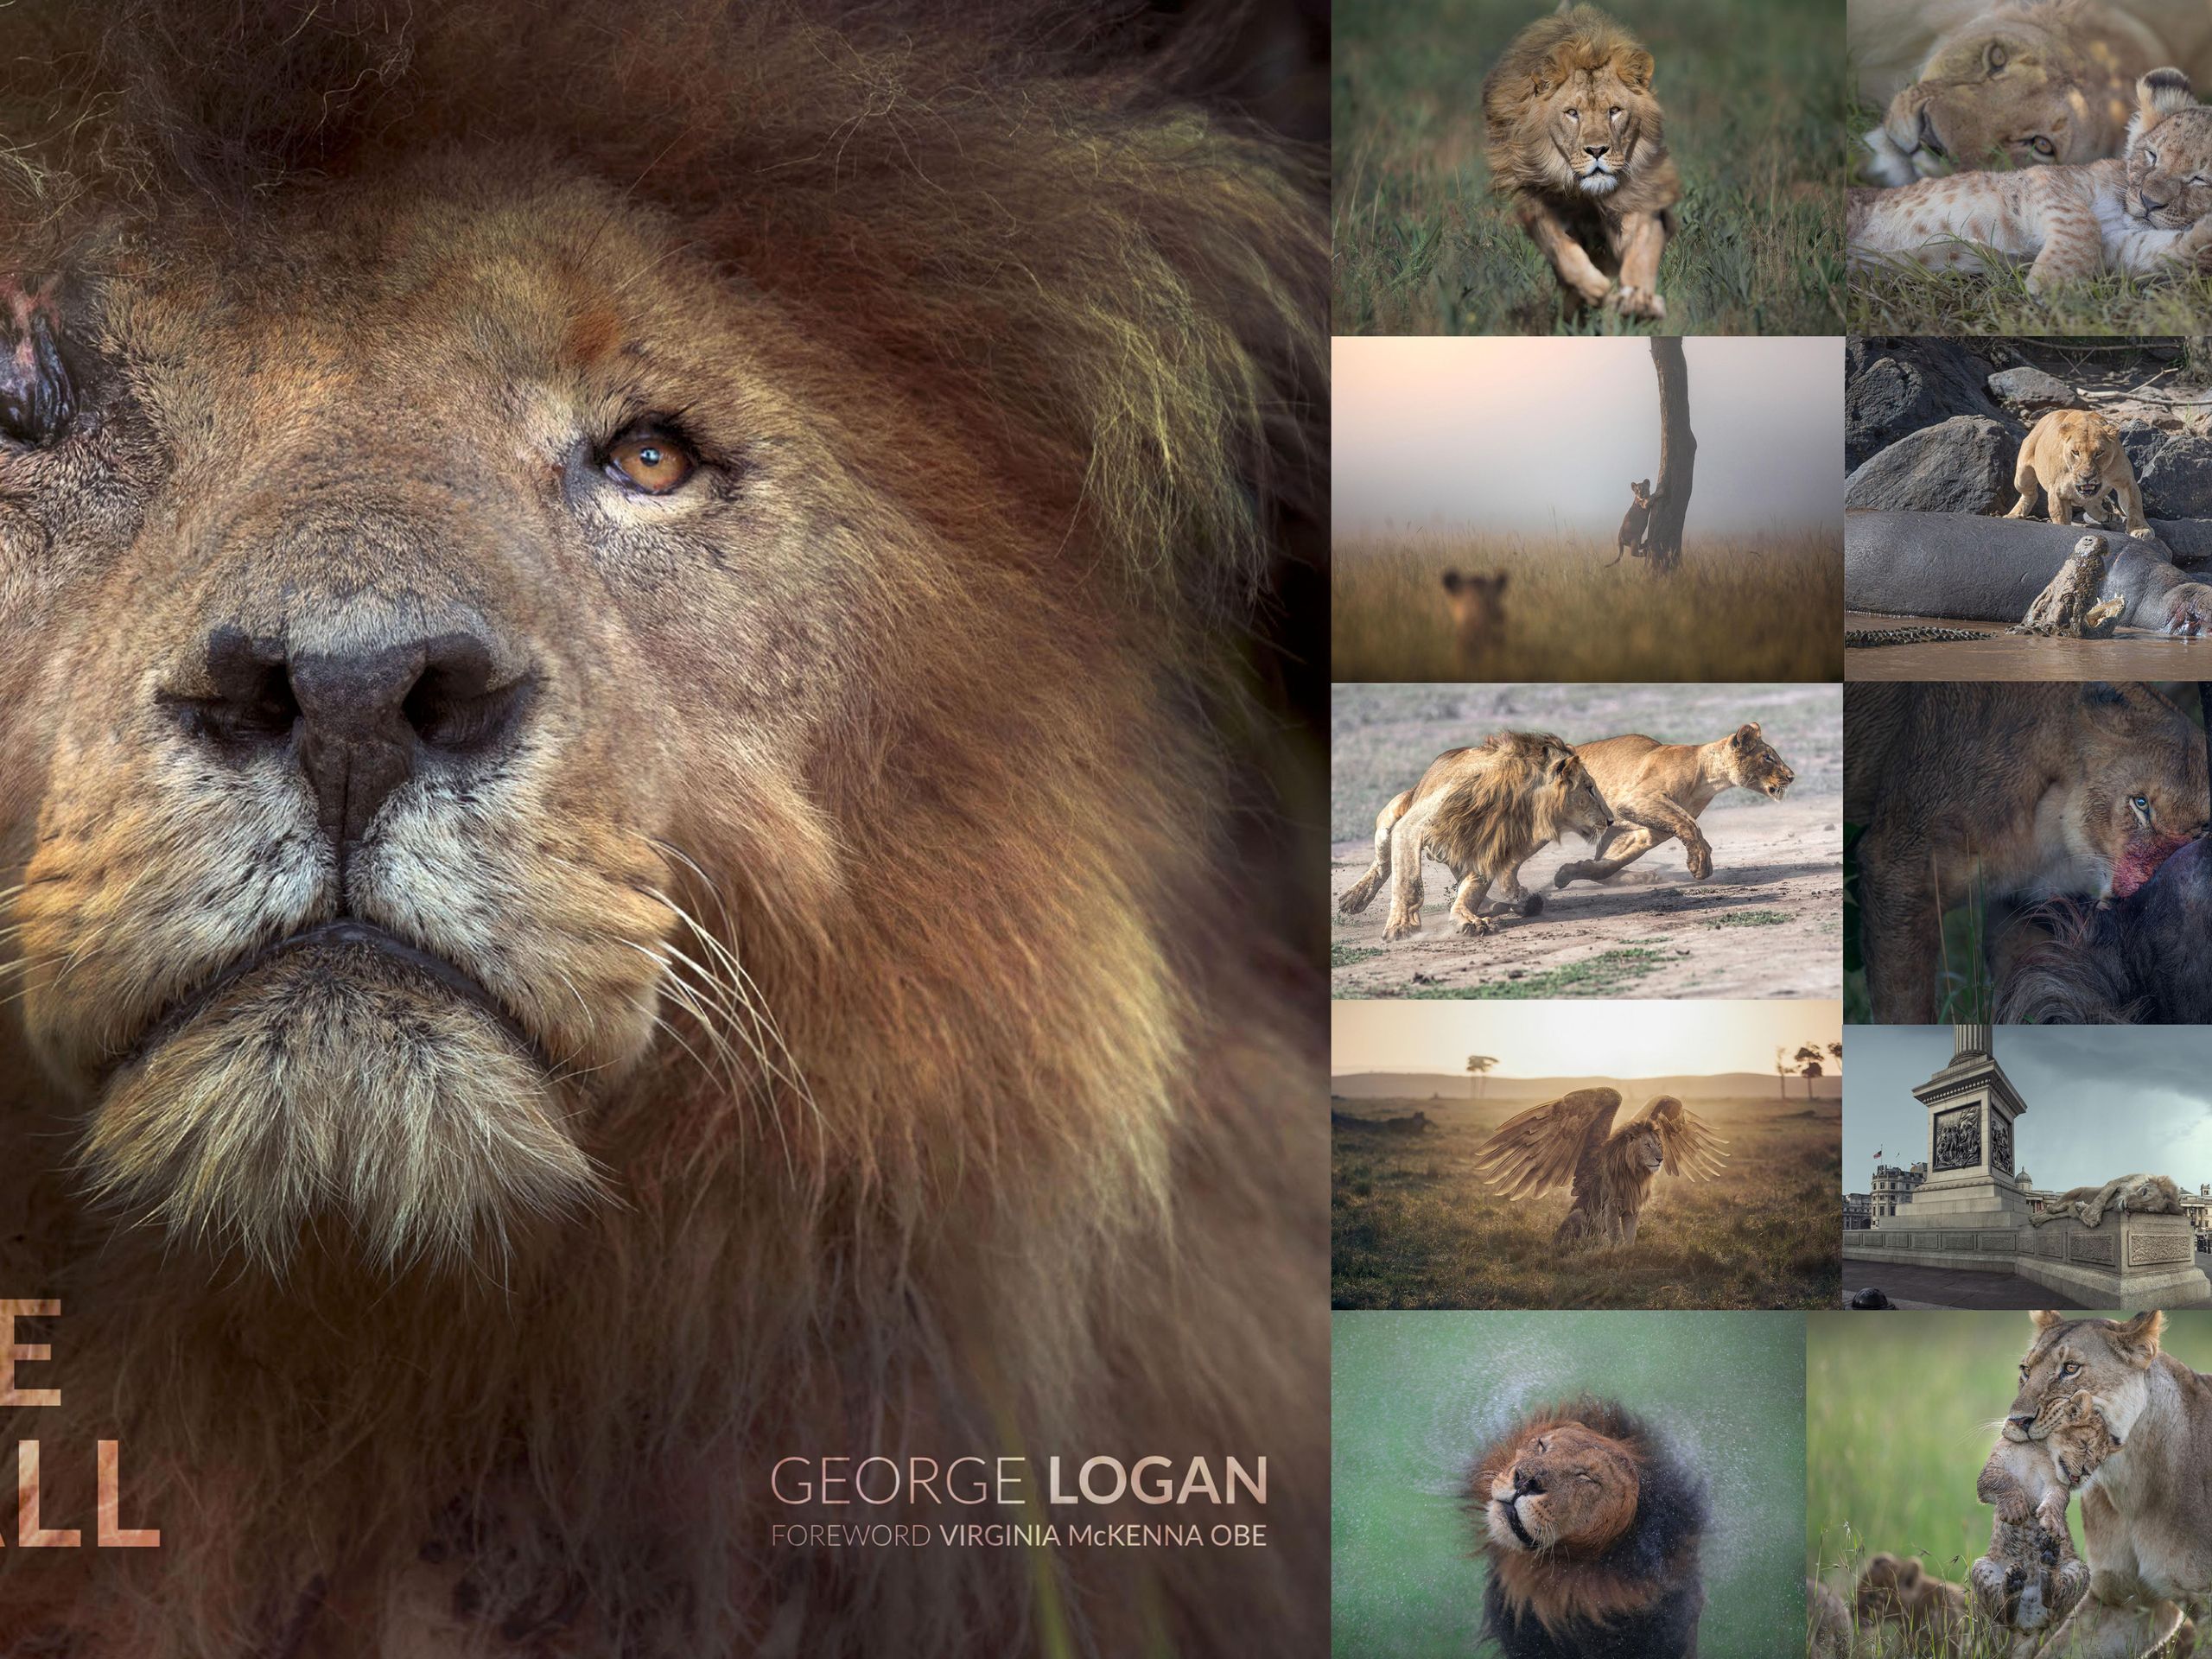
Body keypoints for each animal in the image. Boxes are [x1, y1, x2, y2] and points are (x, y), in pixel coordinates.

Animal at [1335, 731, 1615, 942]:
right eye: (1589, 788)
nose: (1611, 819)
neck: (1514, 800)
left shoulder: (1486, 847)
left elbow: (1472, 889)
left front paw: (1467, 918)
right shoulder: (1412, 826)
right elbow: (1410, 882)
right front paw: (1402, 926)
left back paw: (1514, 902)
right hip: (1394, 812)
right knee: (1382, 861)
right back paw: (1354, 898)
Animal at [1471, 1088, 1726, 1250]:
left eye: (1660, 1144)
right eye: (1647, 1145)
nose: (1660, 1158)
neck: (1634, 1172)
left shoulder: (1633, 1205)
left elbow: (1630, 1234)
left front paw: (1630, 1252)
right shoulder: (1611, 1202)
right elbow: (1616, 1233)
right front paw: (1617, 1252)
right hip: (1578, 1216)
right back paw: (1585, 1245)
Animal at [1480, 4, 1681, 321]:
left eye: (1614, 110)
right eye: (1572, 113)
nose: (1597, 150)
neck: (1586, 195)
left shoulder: (1642, 196)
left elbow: (1641, 248)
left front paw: (1639, 299)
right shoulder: (1535, 201)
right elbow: (1561, 248)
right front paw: (1593, 288)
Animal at [1845, 682, 2208, 1023]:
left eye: (2203, 829)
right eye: (2141, 804)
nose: (2140, 892)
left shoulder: (2024, 904)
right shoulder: (1897, 870)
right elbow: (1904, 1007)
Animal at [2006, 410, 2155, 539]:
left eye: (2099, 453)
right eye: (2075, 452)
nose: (2087, 477)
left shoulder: (2126, 481)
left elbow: (2134, 505)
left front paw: (2141, 530)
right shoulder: (2058, 493)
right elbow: (2061, 519)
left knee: (2092, 502)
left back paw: (2108, 516)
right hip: (2022, 475)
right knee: (2030, 494)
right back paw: (2014, 515)